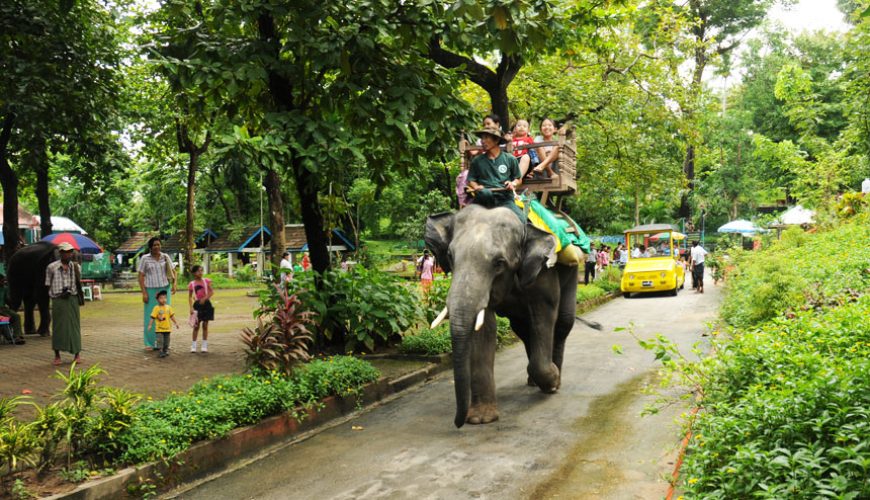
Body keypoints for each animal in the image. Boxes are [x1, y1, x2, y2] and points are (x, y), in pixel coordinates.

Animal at [428, 205, 580, 428]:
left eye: (499, 262)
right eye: (450, 256)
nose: (458, 422)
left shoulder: (544, 273)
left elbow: (544, 316)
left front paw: (552, 382)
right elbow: (484, 329)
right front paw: (480, 419)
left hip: (572, 271)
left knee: (562, 323)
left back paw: (554, 379)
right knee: (524, 330)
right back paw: (533, 381)